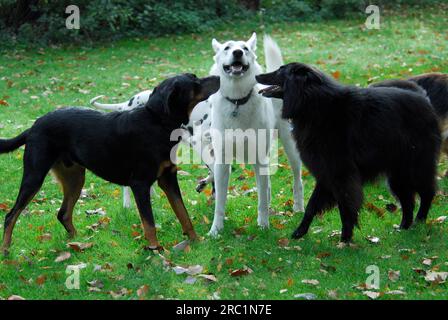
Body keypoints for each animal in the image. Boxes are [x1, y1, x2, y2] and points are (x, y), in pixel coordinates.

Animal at [0, 72, 220, 255]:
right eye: (194, 81)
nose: (219, 77)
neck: (157, 122)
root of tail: (33, 127)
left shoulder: (168, 178)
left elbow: (183, 214)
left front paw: (196, 241)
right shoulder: (140, 184)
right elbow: (149, 223)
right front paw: (156, 251)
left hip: (74, 178)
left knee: (63, 214)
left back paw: (76, 243)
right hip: (34, 176)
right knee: (11, 216)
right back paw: (6, 250)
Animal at [256, 63, 440, 242]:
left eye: (280, 70)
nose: (257, 75)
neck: (316, 106)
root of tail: (424, 99)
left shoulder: (341, 175)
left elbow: (345, 207)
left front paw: (345, 238)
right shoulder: (326, 174)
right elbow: (311, 206)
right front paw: (300, 232)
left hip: (416, 168)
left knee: (427, 193)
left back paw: (419, 221)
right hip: (398, 175)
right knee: (408, 200)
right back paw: (404, 227)